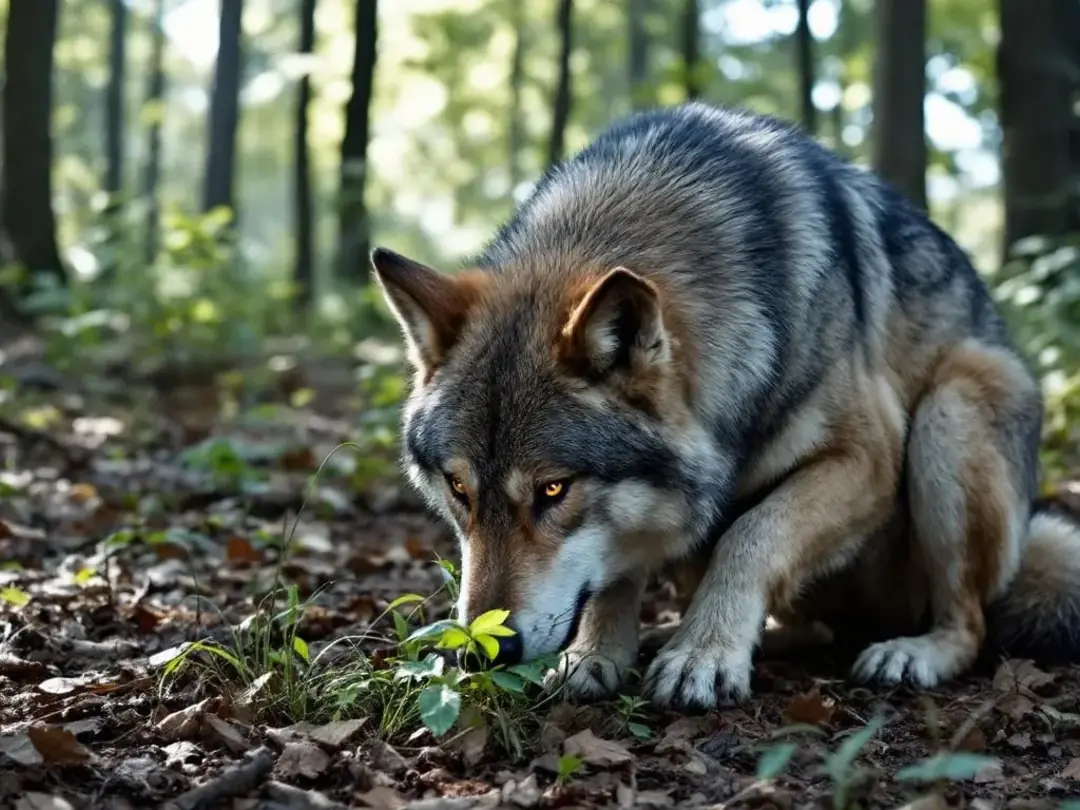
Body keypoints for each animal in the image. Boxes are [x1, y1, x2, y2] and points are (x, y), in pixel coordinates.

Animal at [369, 101, 1080, 711]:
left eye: (552, 490)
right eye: (459, 489)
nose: (482, 654)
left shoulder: (866, 460)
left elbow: (751, 536)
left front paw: (703, 656)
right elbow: (617, 572)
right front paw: (598, 655)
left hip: (954, 407)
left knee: (968, 623)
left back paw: (912, 653)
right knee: (812, 625)